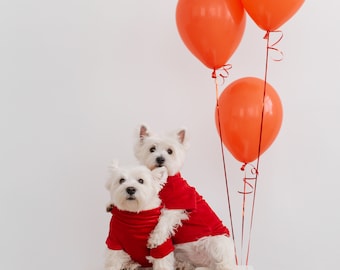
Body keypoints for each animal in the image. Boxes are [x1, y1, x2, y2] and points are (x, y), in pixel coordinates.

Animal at [133, 125, 236, 270]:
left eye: (170, 151)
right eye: (152, 149)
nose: (160, 159)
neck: (166, 181)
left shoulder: (178, 205)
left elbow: (164, 220)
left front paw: (154, 239)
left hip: (217, 242)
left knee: (222, 263)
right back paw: (183, 265)